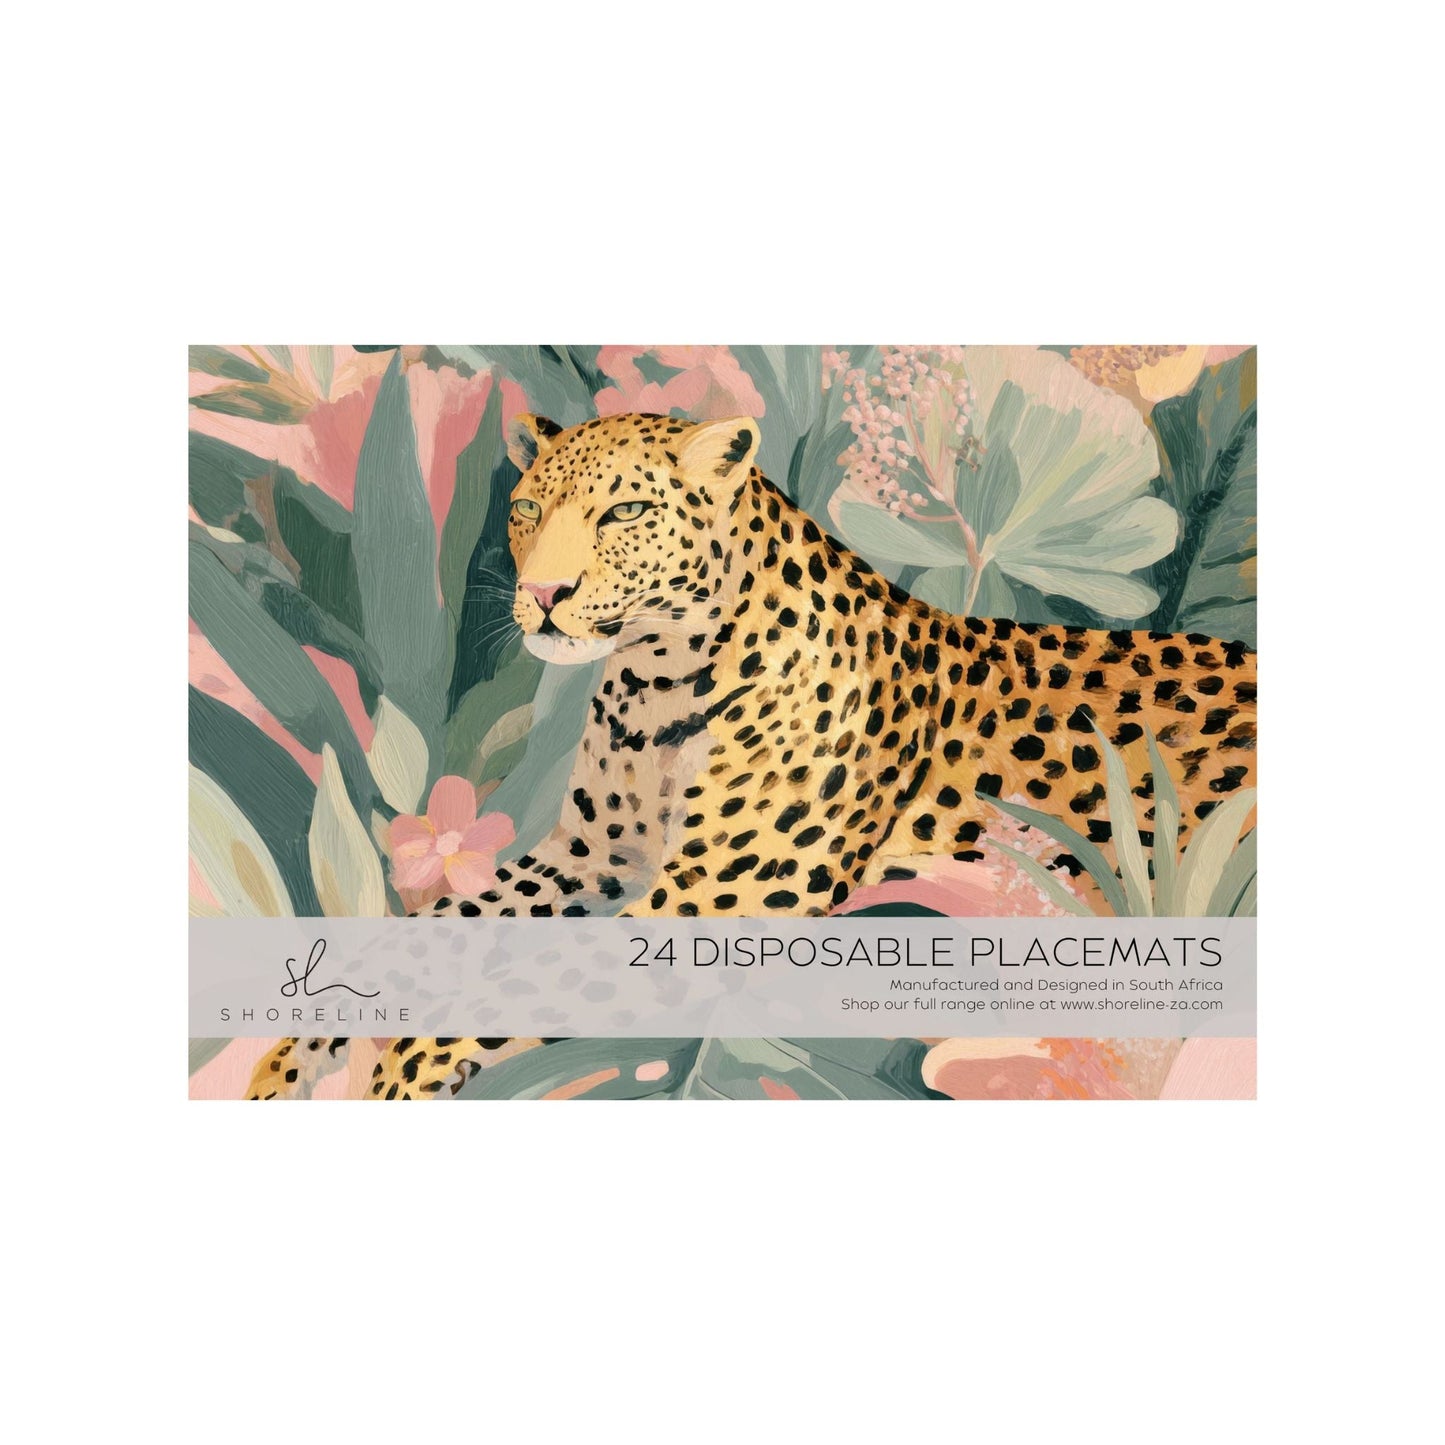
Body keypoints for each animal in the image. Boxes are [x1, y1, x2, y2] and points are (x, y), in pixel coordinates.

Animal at [247, 410, 1257, 1099]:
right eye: (528, 506)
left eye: (624, 511)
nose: (542, 593)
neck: (655, 681)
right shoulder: (585, 855)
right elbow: (428, 937)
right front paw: (286, 1059)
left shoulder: (708, 903)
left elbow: (521, 985)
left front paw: (398, 1075)